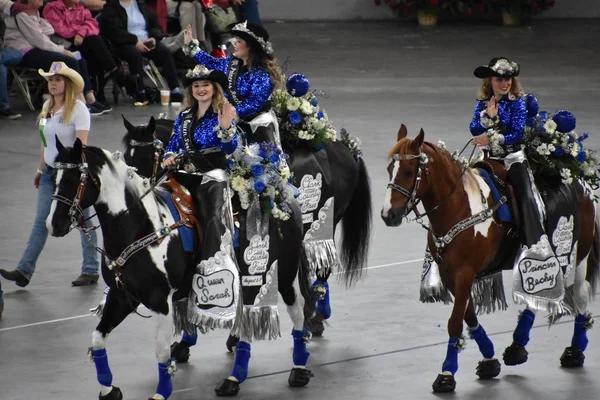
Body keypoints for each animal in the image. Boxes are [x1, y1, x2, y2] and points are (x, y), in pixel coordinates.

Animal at [47, 139, 316, 398]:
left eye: (72, 179)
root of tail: (283, 192)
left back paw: (295, 369)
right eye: (53, 178)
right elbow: (97, 340)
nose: (54, 224)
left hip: (280, 274)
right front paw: (109, 390)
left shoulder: (159, 302)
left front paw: (161, 393)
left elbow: (161, 352)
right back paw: (235, 376)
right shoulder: (121, 296)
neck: (141, 227)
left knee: (295, 313)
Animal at [382, 126, 596, 394]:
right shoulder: (450, 274)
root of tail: (580, 182)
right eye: (389, 169)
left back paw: (575, 351)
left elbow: (455, 322)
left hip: (579, 254)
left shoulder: (465, 273)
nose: (388, 215)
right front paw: (489, 360)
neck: (459, 207)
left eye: (409, 171)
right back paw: (517, 348)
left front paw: (446, 374)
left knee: (578, 293)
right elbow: (469, 316)